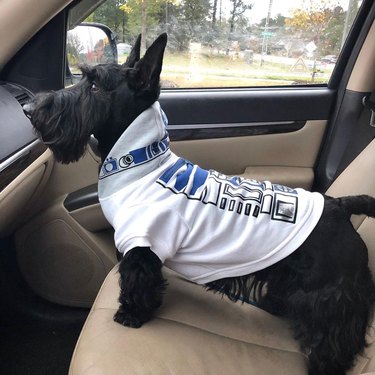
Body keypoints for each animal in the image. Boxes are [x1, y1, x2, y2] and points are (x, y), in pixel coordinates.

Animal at [25, 33, 375, 375]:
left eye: (95, 85)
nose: (29, 108)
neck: (139, 162)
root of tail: (339, 205)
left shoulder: (141, 248)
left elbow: (139, 282)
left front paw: (130, 314)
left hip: (328, 294)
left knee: (333, 337)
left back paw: (325, 365)